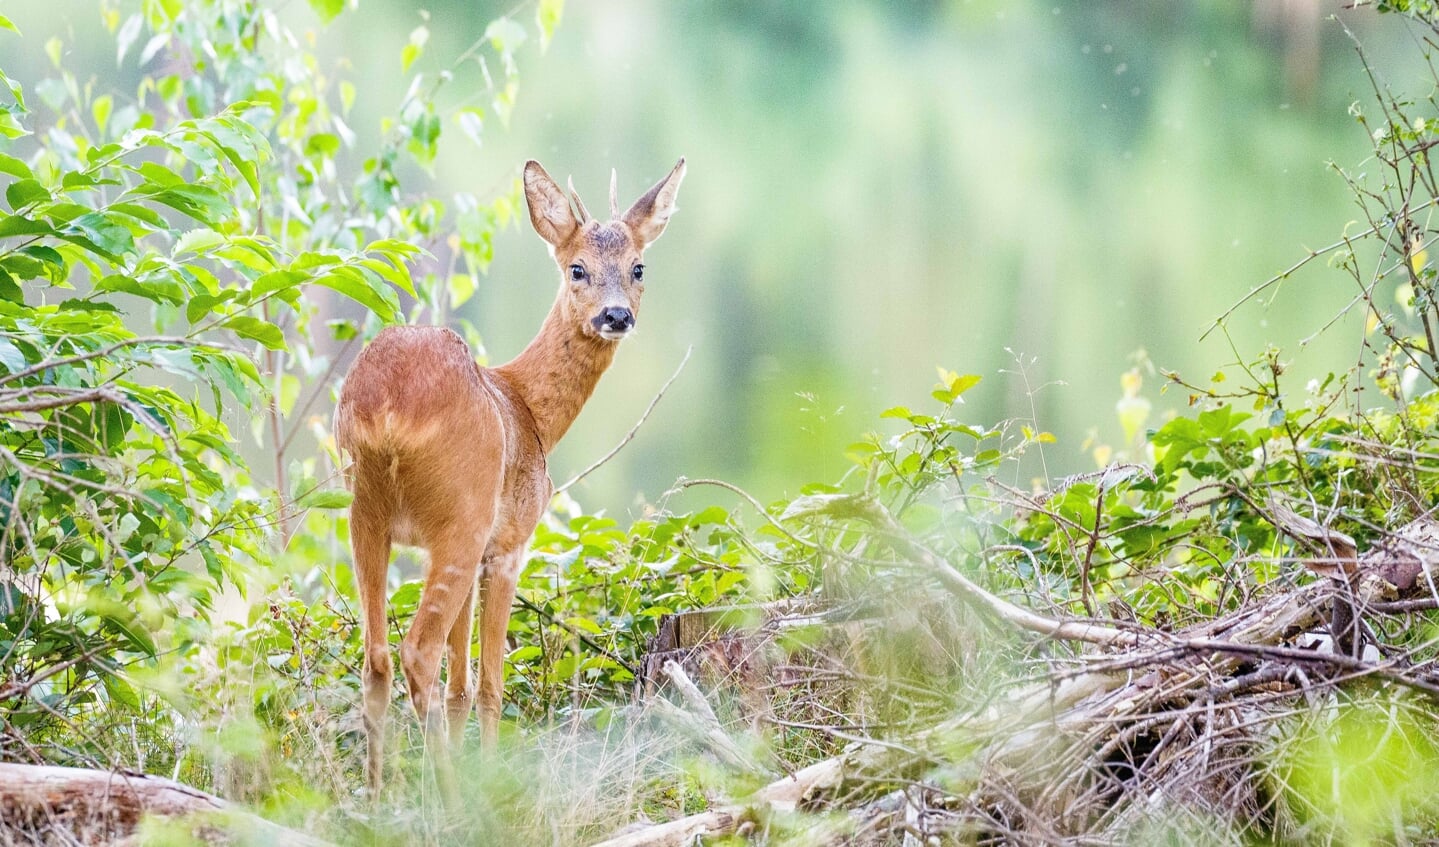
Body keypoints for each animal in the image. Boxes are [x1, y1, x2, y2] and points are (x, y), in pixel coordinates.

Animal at [330, 156, 684, 793]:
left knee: (378, 658)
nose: (616, 315)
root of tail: (388, 408)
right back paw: (452, 798)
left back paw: (374, 796)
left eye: (638, 266)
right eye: (577, 268)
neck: (529, 410)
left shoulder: (462, 549)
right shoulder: (509, 543)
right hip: (462, 514)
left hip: (363, 512)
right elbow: (489, 686)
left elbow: (461, 685)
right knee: (417, 652)